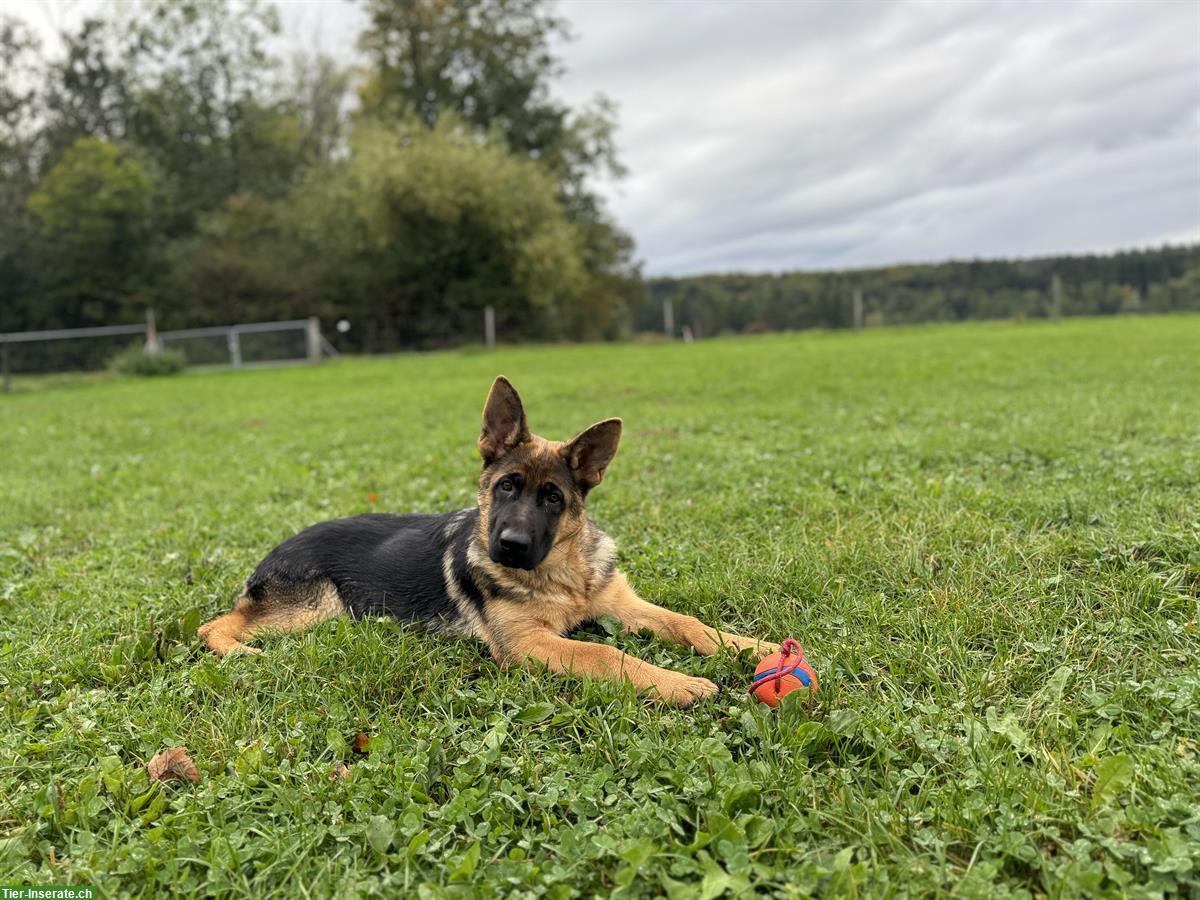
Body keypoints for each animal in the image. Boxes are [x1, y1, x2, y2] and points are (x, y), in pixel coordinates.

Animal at [199, 376, 777, 710]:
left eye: (552, 498)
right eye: (506, 487)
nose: (511, 545)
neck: (562, 576)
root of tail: (276, 549)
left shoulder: (621, 604)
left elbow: (688, 623)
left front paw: (756, 647)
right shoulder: (527, 644)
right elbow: (602, 652)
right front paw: (679, 683)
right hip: (316, 606)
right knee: (214, 625)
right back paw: (240, 651)